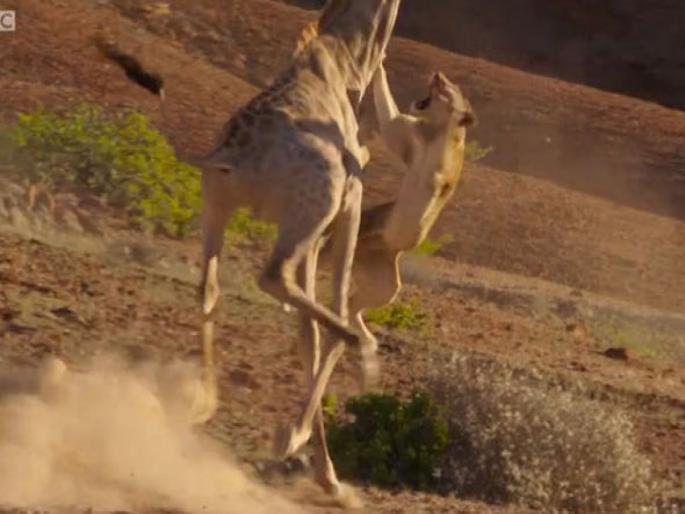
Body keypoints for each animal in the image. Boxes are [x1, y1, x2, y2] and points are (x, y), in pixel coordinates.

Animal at [198, 0, 401, 503]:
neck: (350, 63)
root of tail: (236, 156)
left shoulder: (318, 231)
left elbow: (308, 336)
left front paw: (327, 473)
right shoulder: (348, 205)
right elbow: (333, 315)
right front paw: (299, 442)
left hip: (221, 205)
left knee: (209, 288)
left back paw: (201, 403)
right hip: (309, 208)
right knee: (280, 282)